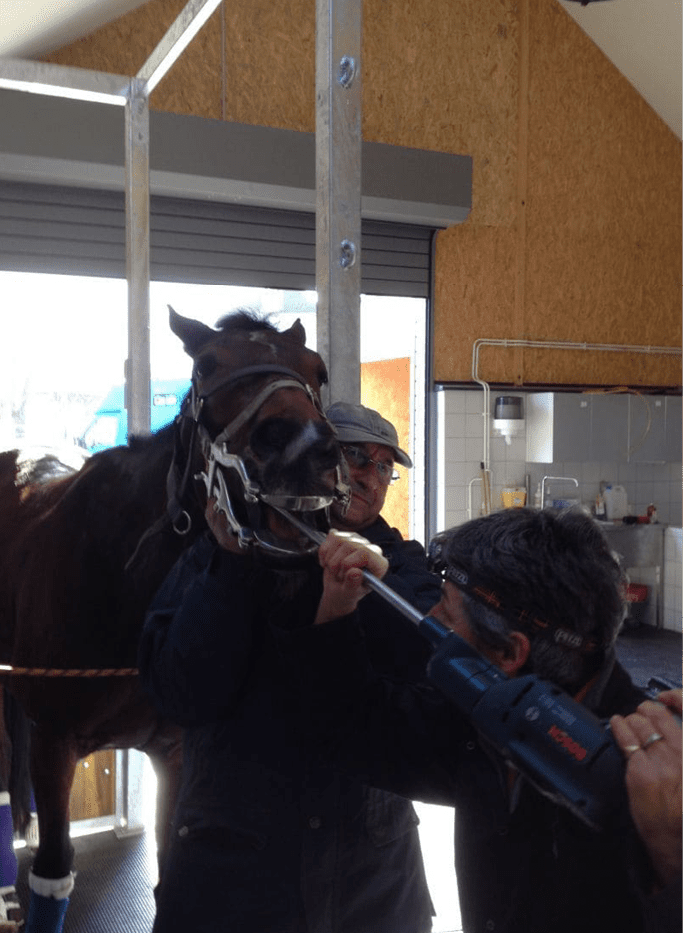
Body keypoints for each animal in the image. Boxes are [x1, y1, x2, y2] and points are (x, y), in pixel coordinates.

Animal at [0, 308, 344, 932]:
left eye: (318, 369)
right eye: (205, 365)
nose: (304, 449)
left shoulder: (175, 751)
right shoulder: (53, 744)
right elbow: (53, 874)